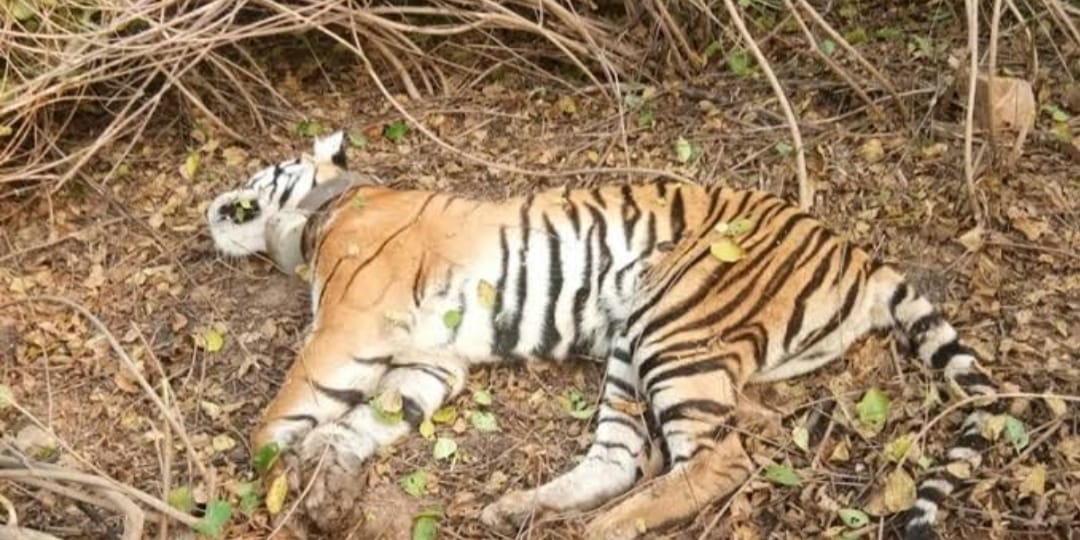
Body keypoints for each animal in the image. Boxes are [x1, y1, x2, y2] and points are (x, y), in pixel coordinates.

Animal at [205, 130, 1003, 540]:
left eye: (261, 170)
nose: (214, 203)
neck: (325, 211)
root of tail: (854, 251)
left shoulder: (350, 320)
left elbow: (286, 404)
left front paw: (277, 471)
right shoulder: (432, 361)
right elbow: (367, 420)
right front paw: (326, 473)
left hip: (676, 327)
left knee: (718, 461)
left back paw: (602, 529)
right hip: (630, 344)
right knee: (622, 458)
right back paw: (518, 509)